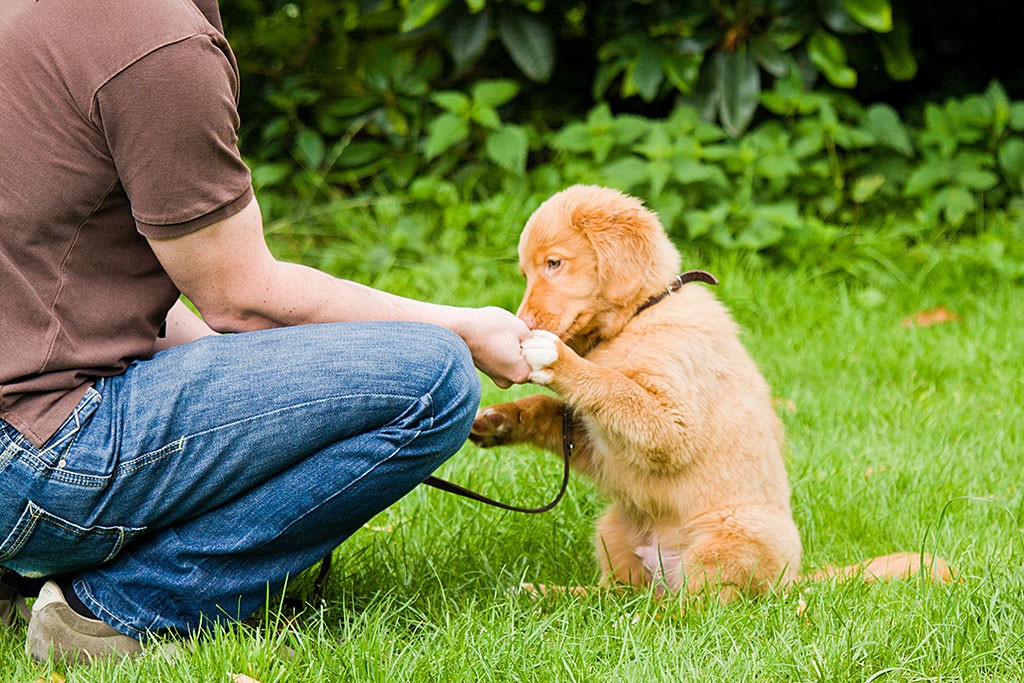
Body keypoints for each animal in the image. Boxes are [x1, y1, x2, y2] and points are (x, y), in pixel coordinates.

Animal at [471, 184, 950, 602]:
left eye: (554, 263)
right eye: (526, 271)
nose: (523, 322)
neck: (639, 316)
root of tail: (790, 581)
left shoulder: (670, 420)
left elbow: (613, 387)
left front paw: (555, 359)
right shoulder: (598, 440)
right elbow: (552, 410)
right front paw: (501, 421)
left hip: (726, 534)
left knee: (702, 605)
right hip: (615, 527)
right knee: (620, 593)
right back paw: (552, 593)